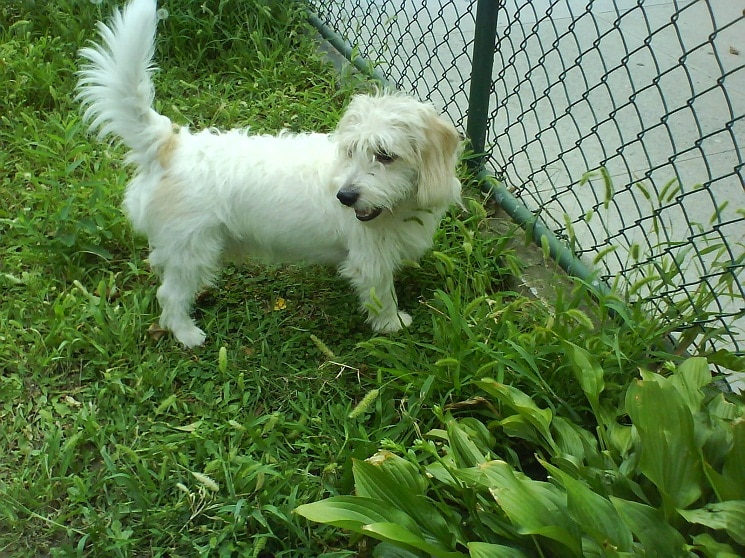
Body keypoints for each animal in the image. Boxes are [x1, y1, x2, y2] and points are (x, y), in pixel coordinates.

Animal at [75, 0, 460, 348]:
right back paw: (186, 334)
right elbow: (382, 296)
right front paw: (394, 325)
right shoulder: (371, 262)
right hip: (190, 248)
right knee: (169, 296)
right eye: (351, 151)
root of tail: (171, 145)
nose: (345, 197)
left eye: (385, 156)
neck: (398, 208)